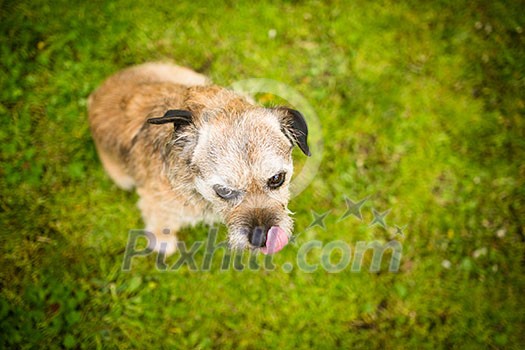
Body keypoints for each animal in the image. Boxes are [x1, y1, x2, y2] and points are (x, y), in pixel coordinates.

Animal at [87, 63, 310, 254]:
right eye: (223, 190)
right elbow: (162, 224)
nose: (262, 238)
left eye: (277, 179)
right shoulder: (156, 204)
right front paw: (163, 242)